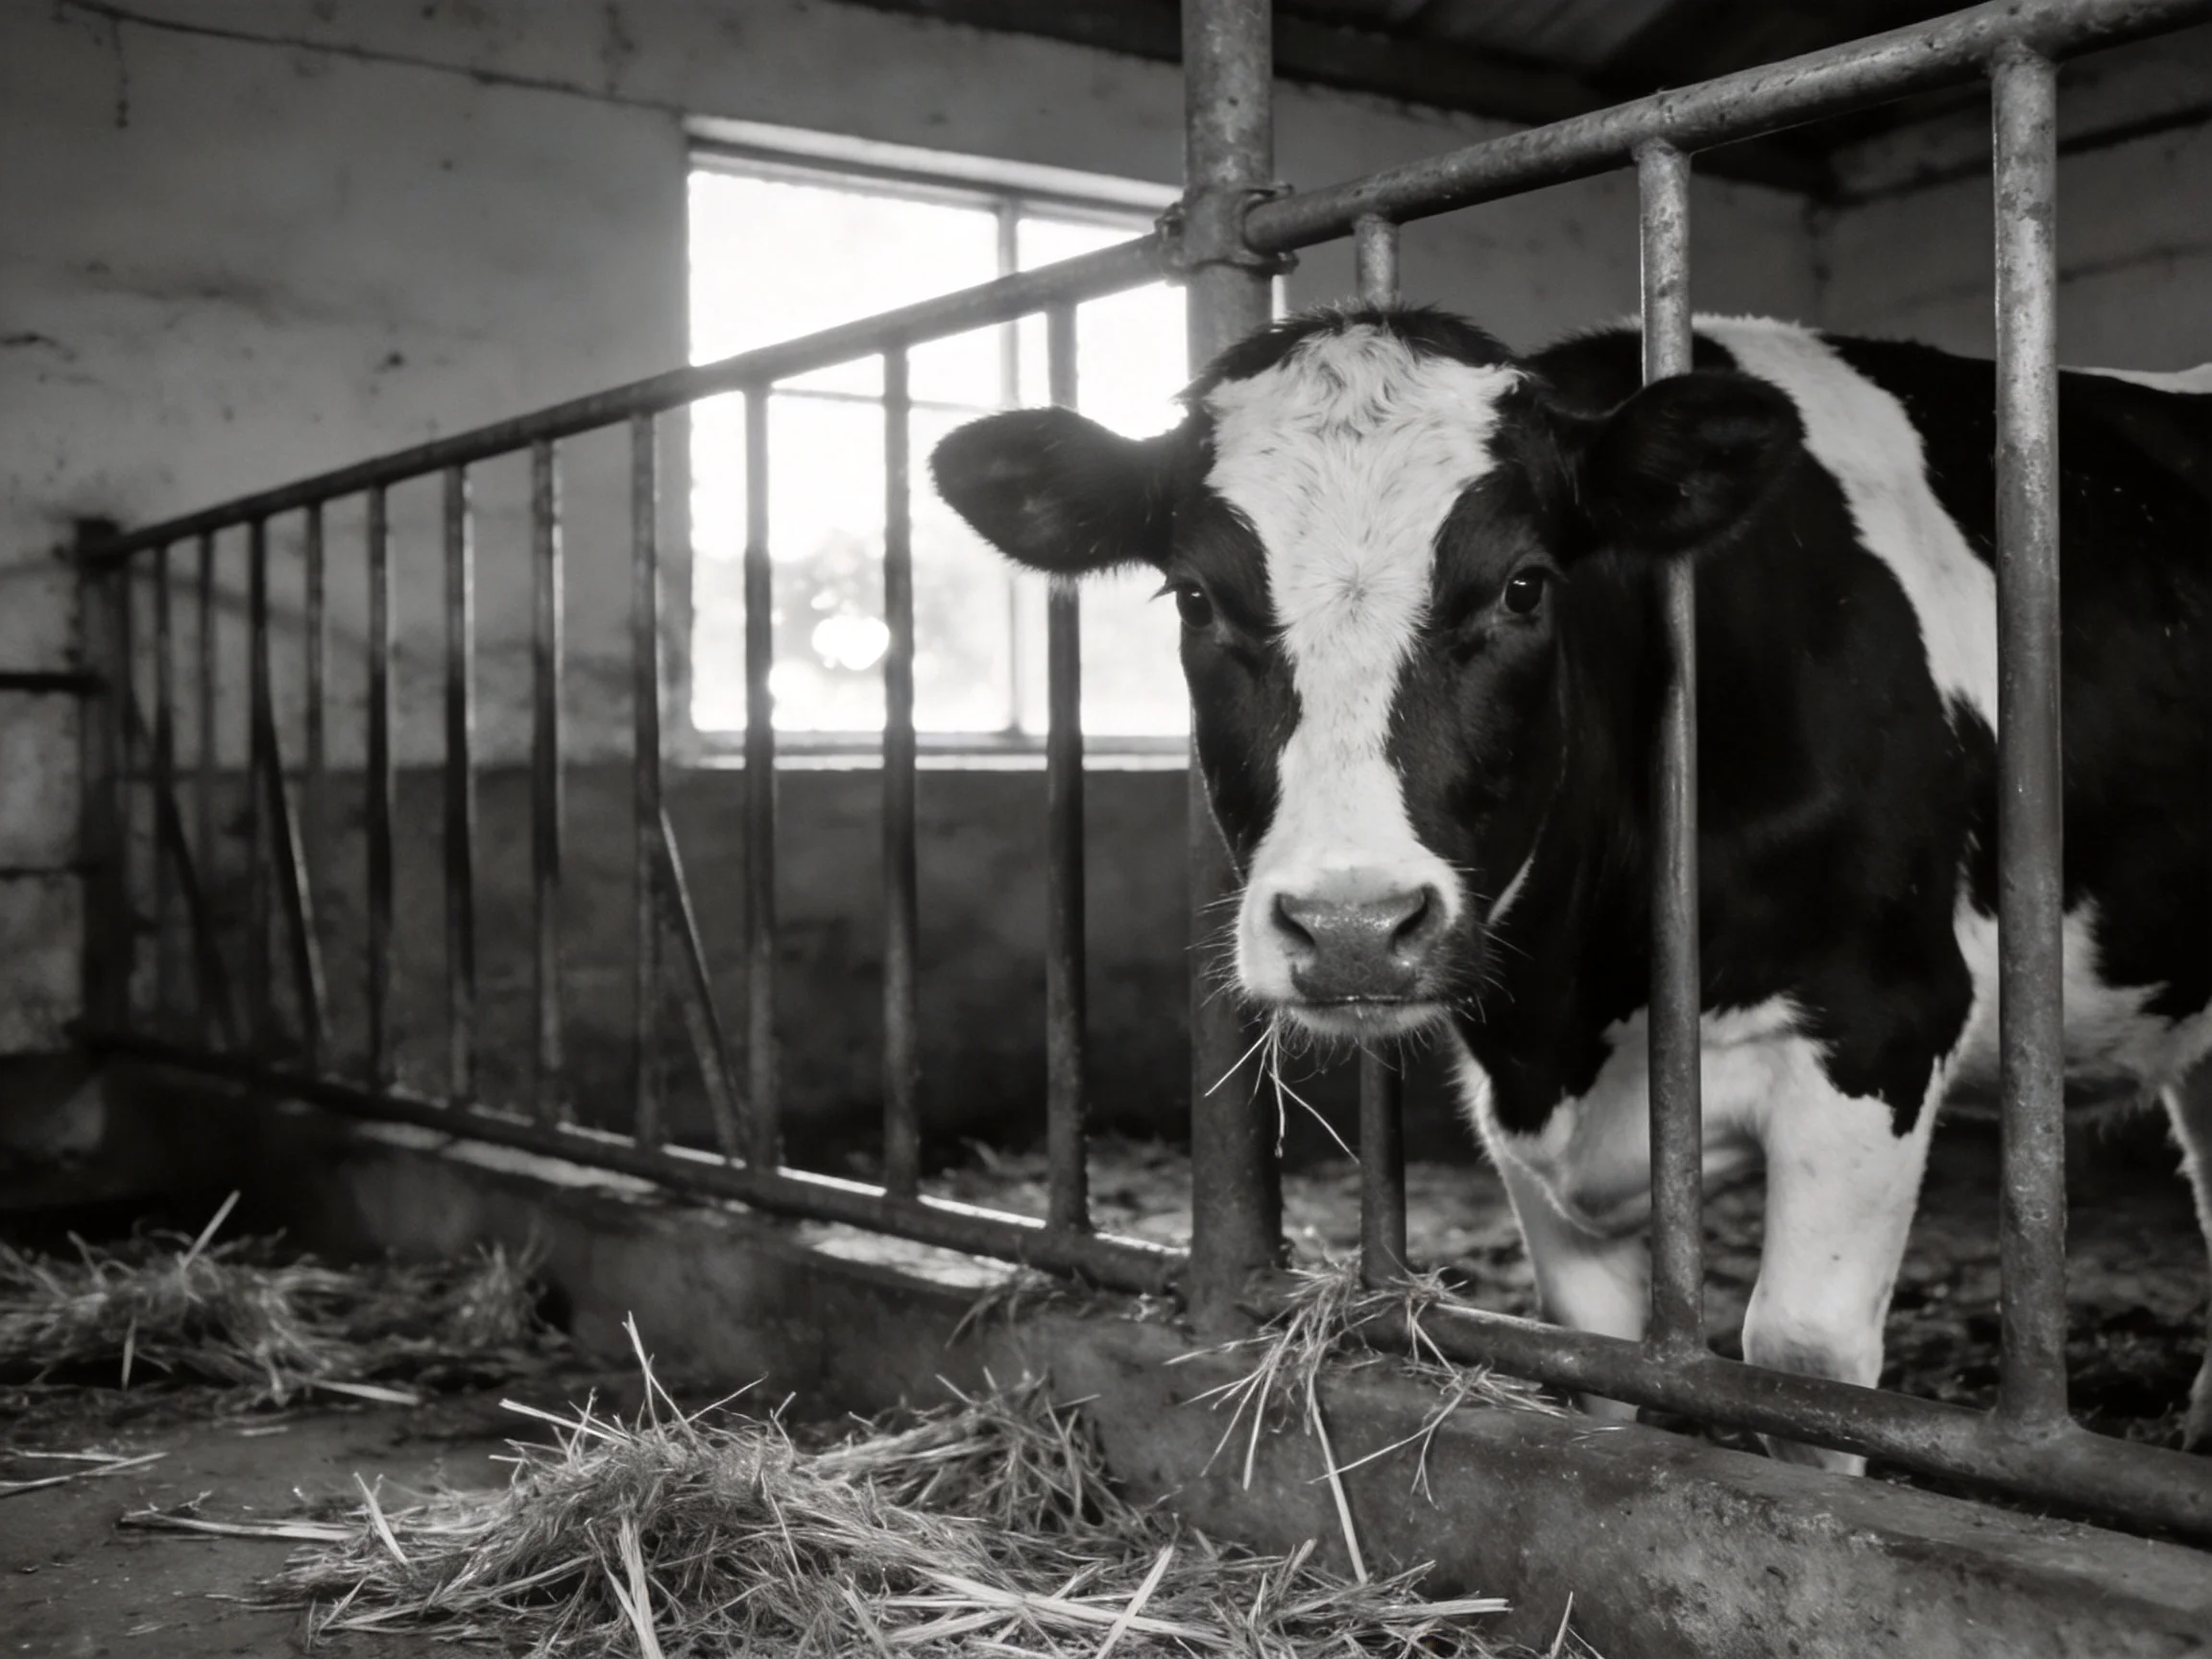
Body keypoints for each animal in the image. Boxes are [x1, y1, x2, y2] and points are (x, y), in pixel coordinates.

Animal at [929, 304, 2212, 1472]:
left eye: (1524, 586)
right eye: (1195, 599)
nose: (1353, 929)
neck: (1582, 1006)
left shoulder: (1885, 1017)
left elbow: (1802, 1359)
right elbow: (1594, 1353)